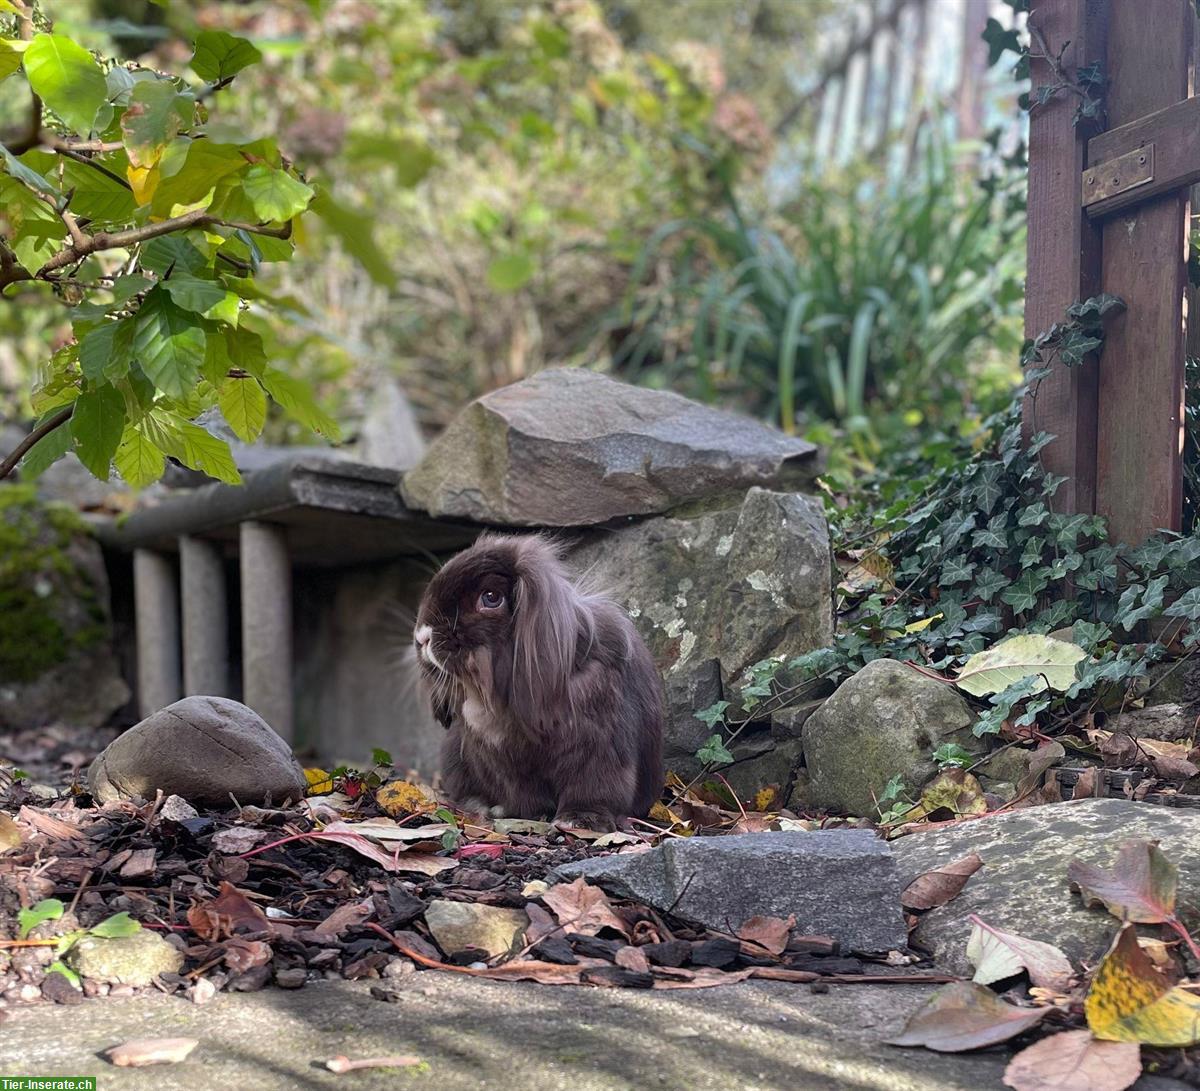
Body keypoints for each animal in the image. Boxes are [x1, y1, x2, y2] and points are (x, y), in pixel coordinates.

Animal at [415, 532, 667, 830]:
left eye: (491, 597)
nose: (422, 636)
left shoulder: (600, 750)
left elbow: (594, 788)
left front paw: (579, 820)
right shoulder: (504, 764)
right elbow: (524, 794)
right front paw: (520, 812)